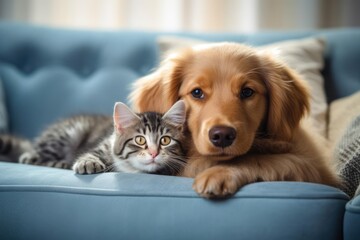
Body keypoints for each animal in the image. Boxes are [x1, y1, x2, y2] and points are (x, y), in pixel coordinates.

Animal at [0, 100, 186, 175]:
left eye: (165, 140)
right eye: (140, 140)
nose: (154, 153)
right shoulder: (104, 144)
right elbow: (92, 153)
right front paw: (88, 163)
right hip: (69, 132)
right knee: (27, 157)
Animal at [130, 42, 340, 198]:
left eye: (247, 92)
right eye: (197, 92)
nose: (222, 135)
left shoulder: (313, 167)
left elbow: (259, 158)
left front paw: (218, 173)